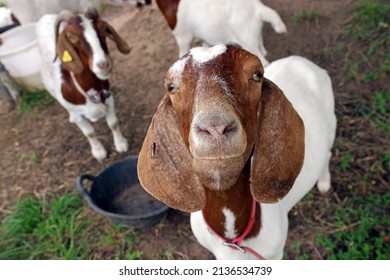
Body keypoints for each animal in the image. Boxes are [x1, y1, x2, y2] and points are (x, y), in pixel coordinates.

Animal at [36, 8, 129, 161]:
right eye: (71, 36)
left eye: (104, 29)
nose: (103, 65)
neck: (88, 90)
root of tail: (45, 17)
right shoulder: (76, 115)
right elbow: (89, 133)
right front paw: (99, 152)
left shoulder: (109, 98)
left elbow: (113, 123)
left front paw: (121, 144)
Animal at [137, 44, 336, 260]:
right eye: (171, 86)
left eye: (257, 74)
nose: (215, 127)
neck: (233, 240)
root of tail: (300, 60)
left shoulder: (275, 254)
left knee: (328, 152)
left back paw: (324, 183)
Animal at [155, 0, 286, 65]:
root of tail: (258, 8)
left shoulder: (182, 36)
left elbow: (182, 53)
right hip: (253, 35)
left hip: (247, 40)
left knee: (263, 62)